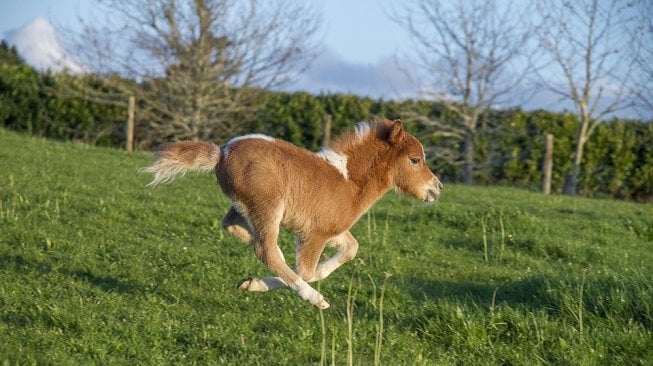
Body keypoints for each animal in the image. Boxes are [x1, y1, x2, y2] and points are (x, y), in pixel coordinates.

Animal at [140, 118, 440, 308]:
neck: (349, 182)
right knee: (267, 251)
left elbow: (349, 250)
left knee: (232, 225)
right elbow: (305, 271)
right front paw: (265, 285)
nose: (437, 188)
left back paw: (249, 246)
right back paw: (313, 298)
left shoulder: (333, 229)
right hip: (268, 205)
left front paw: (252, 283)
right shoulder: (314, 234)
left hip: (246, 205)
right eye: (415, 160)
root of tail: (222, 152)